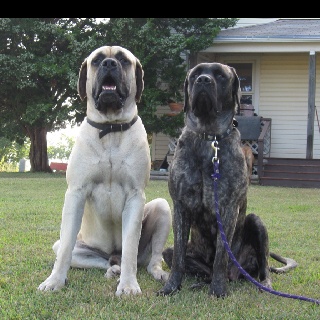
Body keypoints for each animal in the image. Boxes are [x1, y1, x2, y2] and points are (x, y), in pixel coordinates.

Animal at [37, 45, 171, 296]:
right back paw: (113, 270)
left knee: (150, 259)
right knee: (99, 260)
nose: (109, 64)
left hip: (161, 207)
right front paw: (54, 281)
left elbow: (130, 246)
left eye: (123, 60)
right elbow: (65, 248)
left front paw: (128, 285)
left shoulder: (135, 195)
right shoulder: (76, 192)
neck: (110, 128)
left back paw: (156, 272)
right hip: (82, 248)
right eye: (97, 60)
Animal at [159, 62, 296, 298]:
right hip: (174, 251)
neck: (209, 138)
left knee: (261, 267)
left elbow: (221, 257)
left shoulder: (229, 208)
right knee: (192, 264)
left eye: (221, 75)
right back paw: (200, 283)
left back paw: (263, 285)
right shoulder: (180, 205)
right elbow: (178, 259)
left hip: (256, 223)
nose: (203, 80)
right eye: (195, 74)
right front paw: (171, 287)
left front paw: (218, 291)